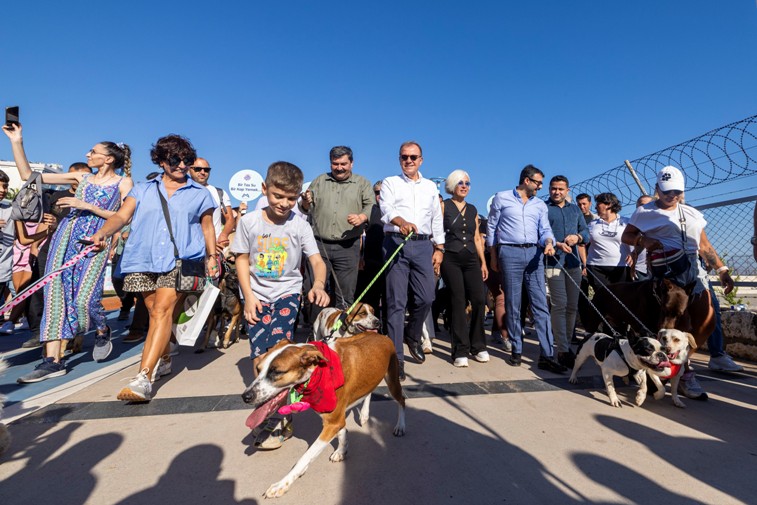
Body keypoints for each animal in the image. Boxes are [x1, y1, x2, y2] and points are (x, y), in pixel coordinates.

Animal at [242, 330, 408, 496]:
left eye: (277, 372)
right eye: (258, 369)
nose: (245, 396)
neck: (316, 371)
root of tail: (379, 334)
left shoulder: (332, 423)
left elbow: (306, 456)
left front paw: (283, 483)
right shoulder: (336, 420)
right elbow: (341, 432)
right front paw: (341, 450)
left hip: (392, 380)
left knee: (402, 400)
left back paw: (400, 426)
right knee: (369, 392)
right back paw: (364, 414)